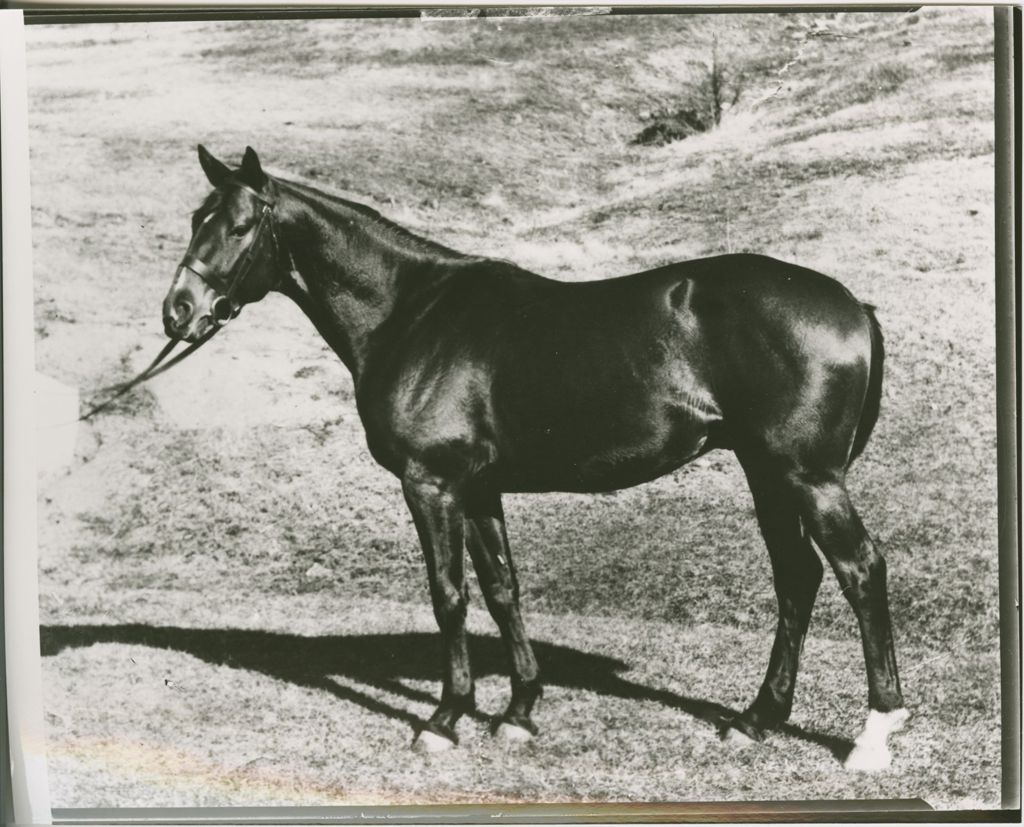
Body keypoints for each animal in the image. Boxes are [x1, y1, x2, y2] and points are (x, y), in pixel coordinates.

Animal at [163, 145, 909, 773]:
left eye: (239, 226)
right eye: (196, 218)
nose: (179, 311)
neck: (414, 312)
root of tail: (852, 305)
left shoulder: (431, 483)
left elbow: (449, 595)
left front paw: (445, 718)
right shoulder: (478, 487)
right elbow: (503, 589)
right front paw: (519, 711)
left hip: (806, 477)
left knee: (859, 570)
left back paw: (874, 733)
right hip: (768, 473)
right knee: (797, 577)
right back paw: (755, 719)